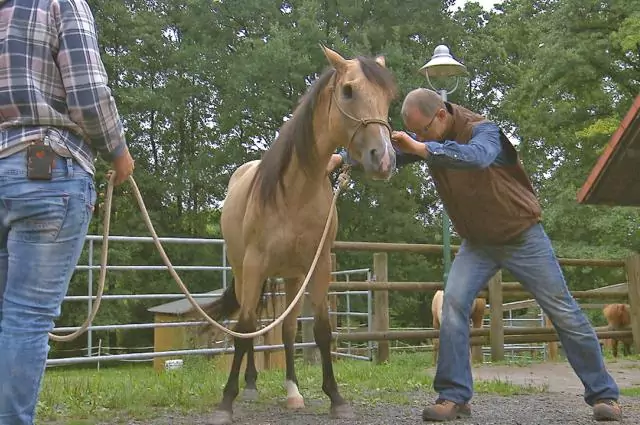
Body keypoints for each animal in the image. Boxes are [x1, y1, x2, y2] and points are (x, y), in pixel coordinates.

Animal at [202, 45, 398, 425]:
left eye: (388, 96)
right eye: (348, 91)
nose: (383, 160)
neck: (294, 193)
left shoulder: (319, 267)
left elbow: (320, 331)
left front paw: (336, 398)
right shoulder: (254, 266)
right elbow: (245, 329)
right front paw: (226, 401)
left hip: (292, 278)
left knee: (288, 330)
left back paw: (292, 391)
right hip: (244, 272)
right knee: (249, 323)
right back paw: (250, 384)